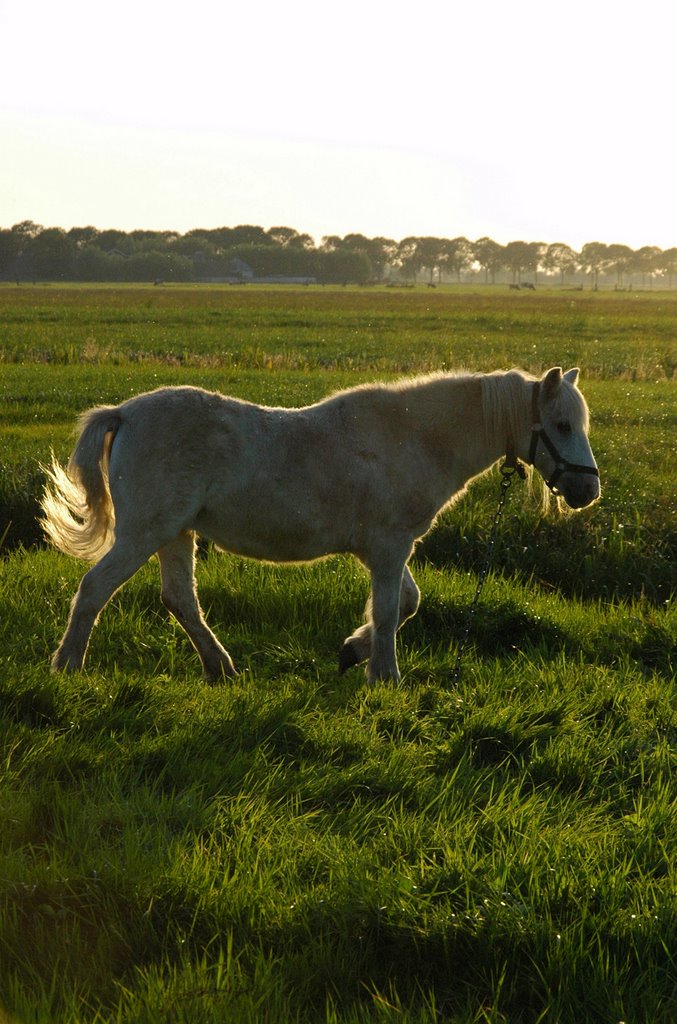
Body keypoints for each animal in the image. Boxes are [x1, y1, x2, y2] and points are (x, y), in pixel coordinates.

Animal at [40, 364, 598, 684]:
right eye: (562, 425)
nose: (588, 491)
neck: (413, 438)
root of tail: (125, 413)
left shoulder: (387, 550)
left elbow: (406, 604)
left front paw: (354, 652)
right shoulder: (390, 548)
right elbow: (391, 611)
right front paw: (384, 676)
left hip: (176, 534)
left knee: (180, 600)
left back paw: (220, 668)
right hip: (145, 534)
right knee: (95, 589)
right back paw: (67, 665)